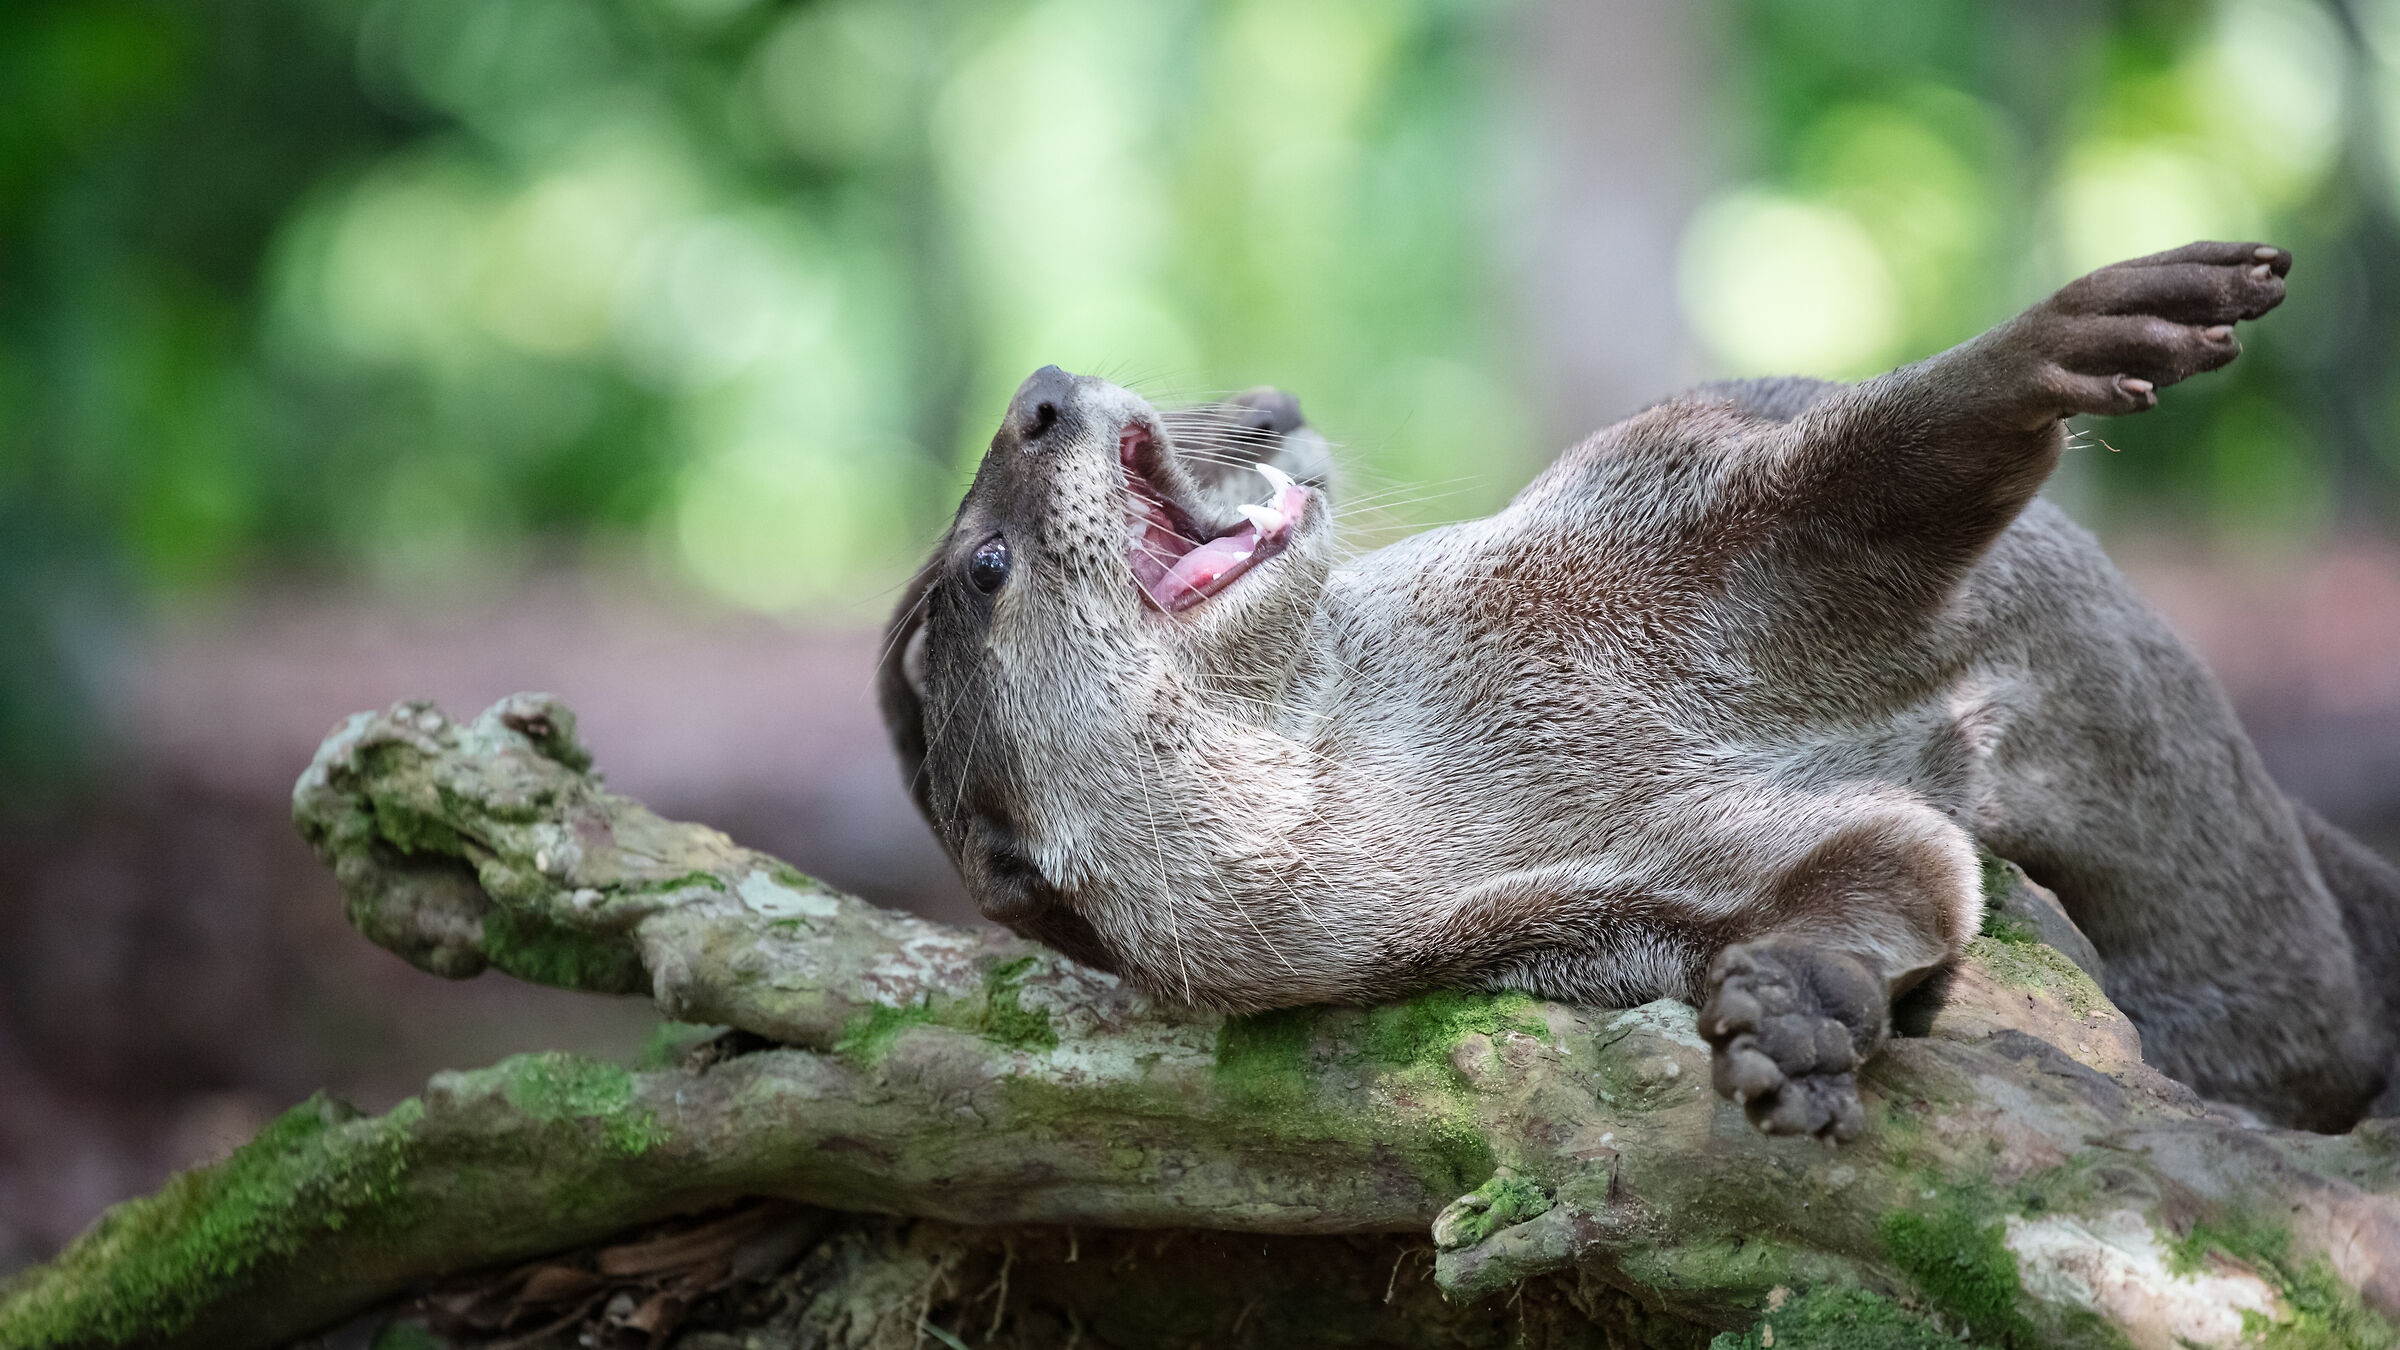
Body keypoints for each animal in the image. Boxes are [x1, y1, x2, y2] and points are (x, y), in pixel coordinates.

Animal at [880, 241, 2400, 1139]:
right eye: (990, 565)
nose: (1037, 392)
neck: (1449, 753)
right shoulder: (1575, 902)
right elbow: (1898, 858)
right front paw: (1804, 1006)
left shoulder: (1646, 532)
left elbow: (1867, 471)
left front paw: (2073, 332)